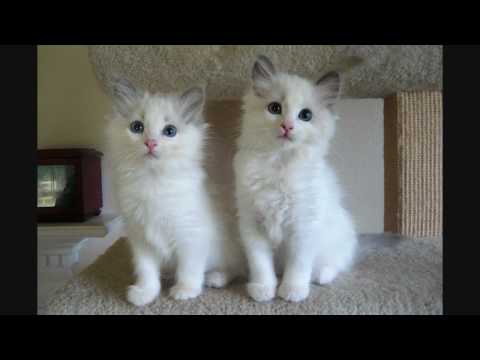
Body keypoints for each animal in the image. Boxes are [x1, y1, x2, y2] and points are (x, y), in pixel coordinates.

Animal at [107, 77, 244, 306]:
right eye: (137, 127)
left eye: (169, 131)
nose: (150, 143)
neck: (153, 181)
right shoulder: (140, 238)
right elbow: (146, 271)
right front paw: (145, 293)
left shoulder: (192, 235)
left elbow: (189, 268)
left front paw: (185, 291)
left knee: (237, 268)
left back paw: (215, 277)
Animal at [234, 54, 358, 302]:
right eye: (275, 108)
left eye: (306, 115)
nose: (287, 126)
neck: (279, 164)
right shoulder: (252, 224)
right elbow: (260, 264)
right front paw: (263, 289)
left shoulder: (304, 225)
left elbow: (298, 265)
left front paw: (292, 292)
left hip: (340, 235)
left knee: (335, 264)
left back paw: (321, 276)